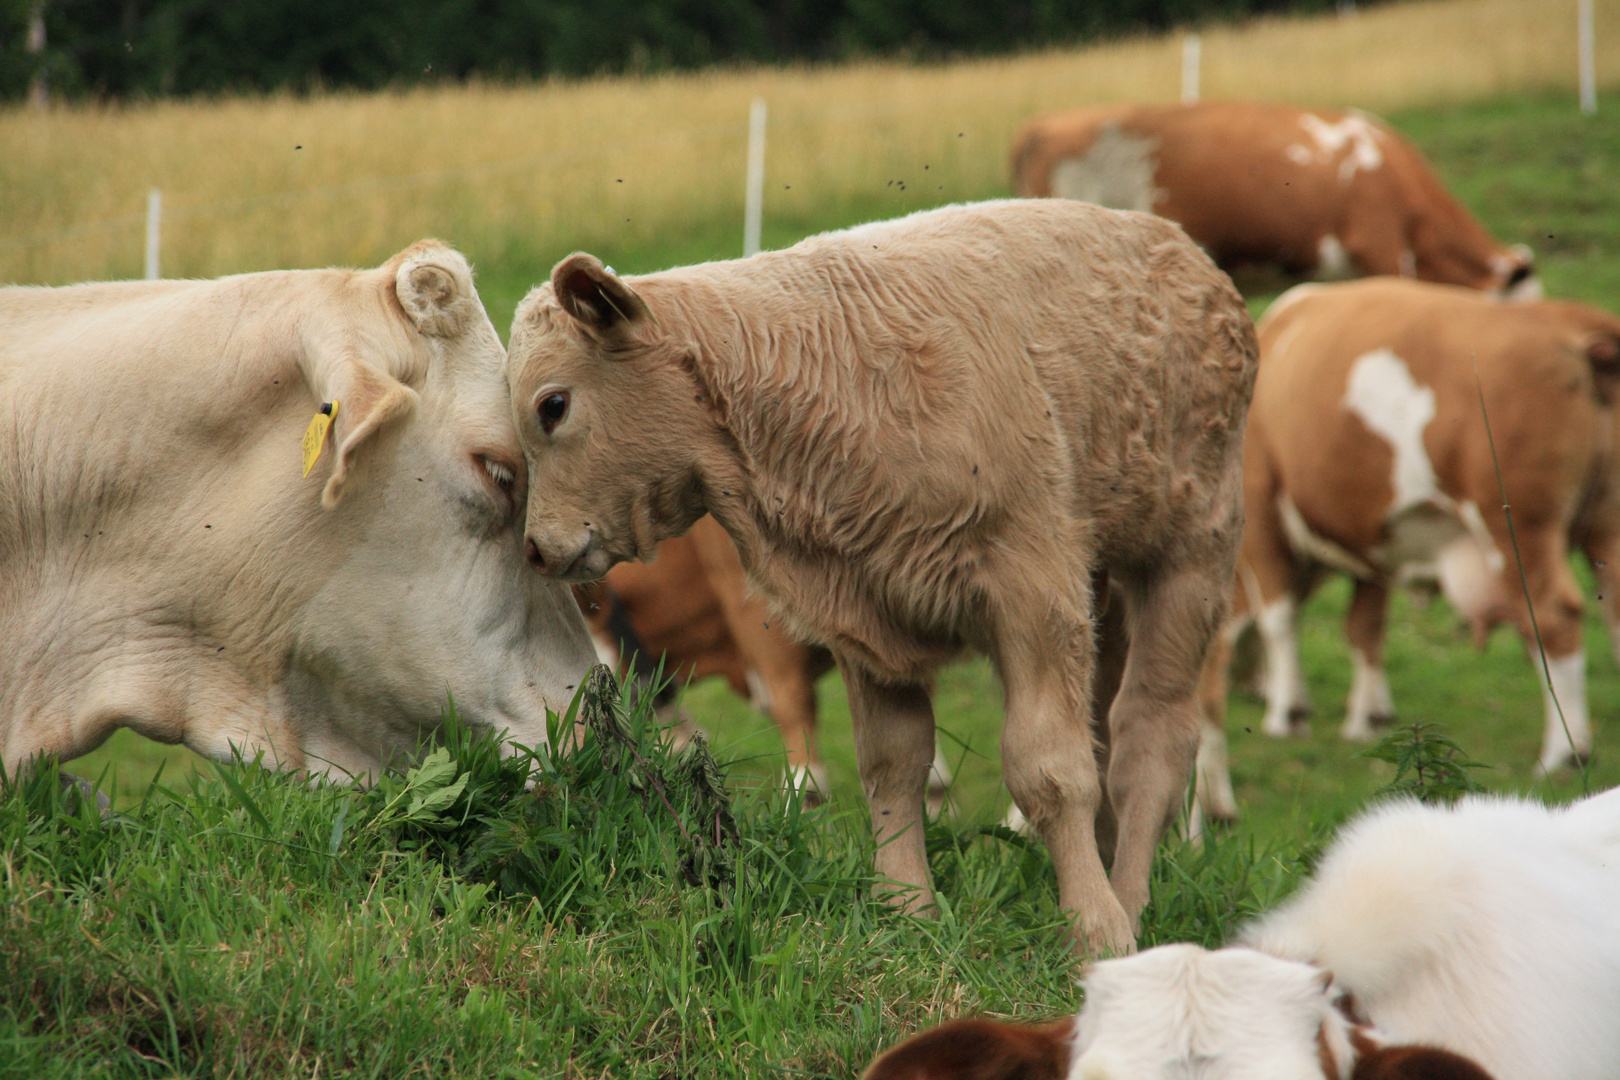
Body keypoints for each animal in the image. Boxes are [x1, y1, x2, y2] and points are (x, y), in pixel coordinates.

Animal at [505, 200, 1250, 952]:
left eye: (553, 405)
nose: (534, 549)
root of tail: (1180, 248)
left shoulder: (1032, 588)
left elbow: (1048, 769)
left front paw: (1095, 931)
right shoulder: (864, 611)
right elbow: (893, 766)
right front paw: (906, 915)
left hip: (1189, 561)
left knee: (1150, 740)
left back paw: (1126, 902)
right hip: (1098, 579)